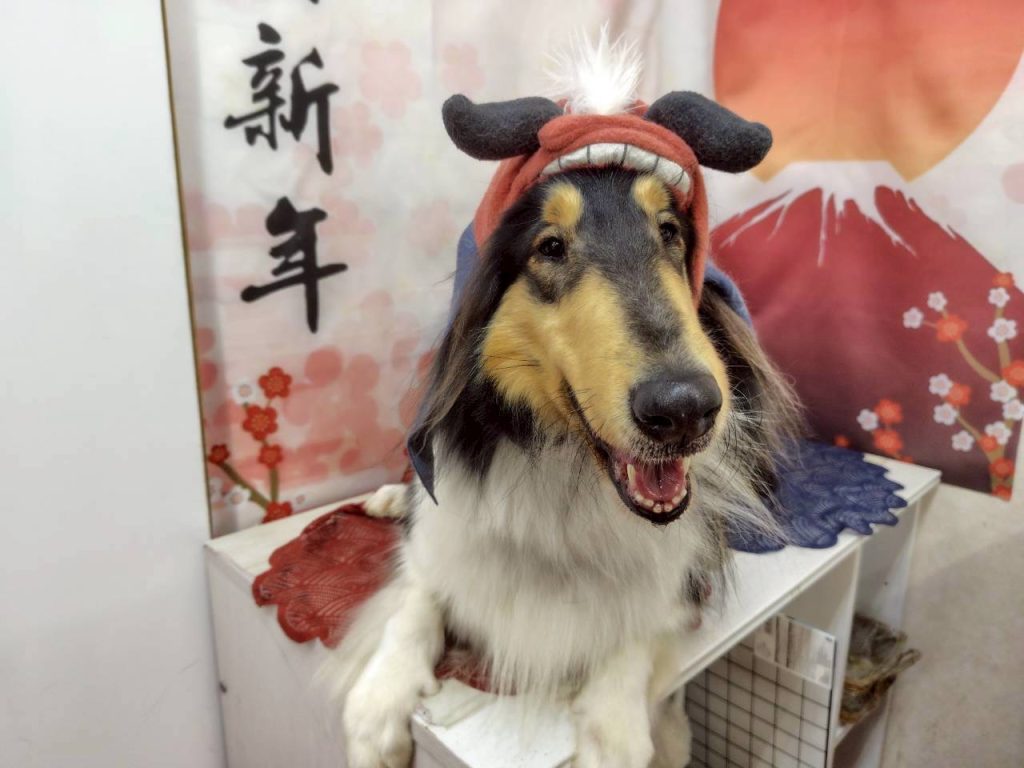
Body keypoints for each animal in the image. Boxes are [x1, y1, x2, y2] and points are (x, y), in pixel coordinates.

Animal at [325, 39, 800, 768]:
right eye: (550, 246)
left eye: (670, 231)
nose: (685, 410)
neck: (570, 474)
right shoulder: (442, 538)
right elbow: (415, 600)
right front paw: (377, 710)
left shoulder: (682, 580)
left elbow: (636, 636)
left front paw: (617, 732)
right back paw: (382, 499)